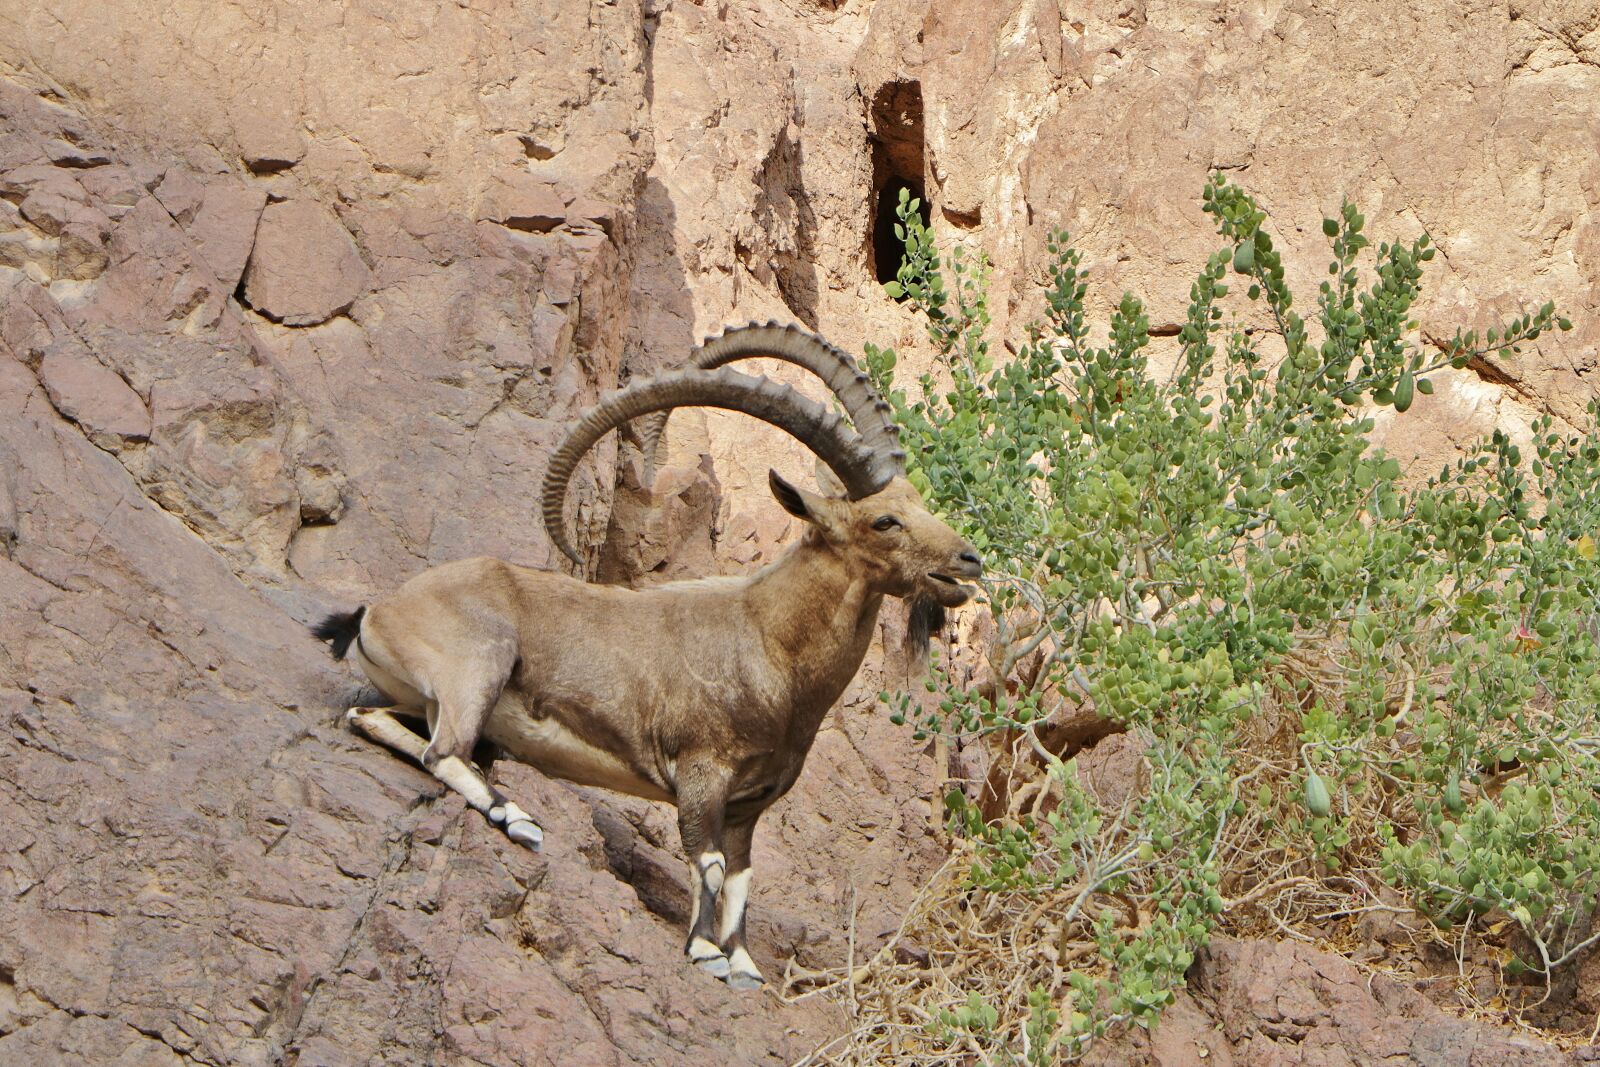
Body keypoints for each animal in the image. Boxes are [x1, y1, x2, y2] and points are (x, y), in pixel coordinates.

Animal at [310, 321, 972, 991]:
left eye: (919, 505)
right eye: (884, 521)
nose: (968, 560)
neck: (768, 642)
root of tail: (375, 613)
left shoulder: (750, 804)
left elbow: (741, 879)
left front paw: (744, 964)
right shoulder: (703, 771)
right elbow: (706, 861)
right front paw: (705, 951)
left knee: (371, 717)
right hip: (478, 664)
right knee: (443, 750)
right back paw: (518, 818)